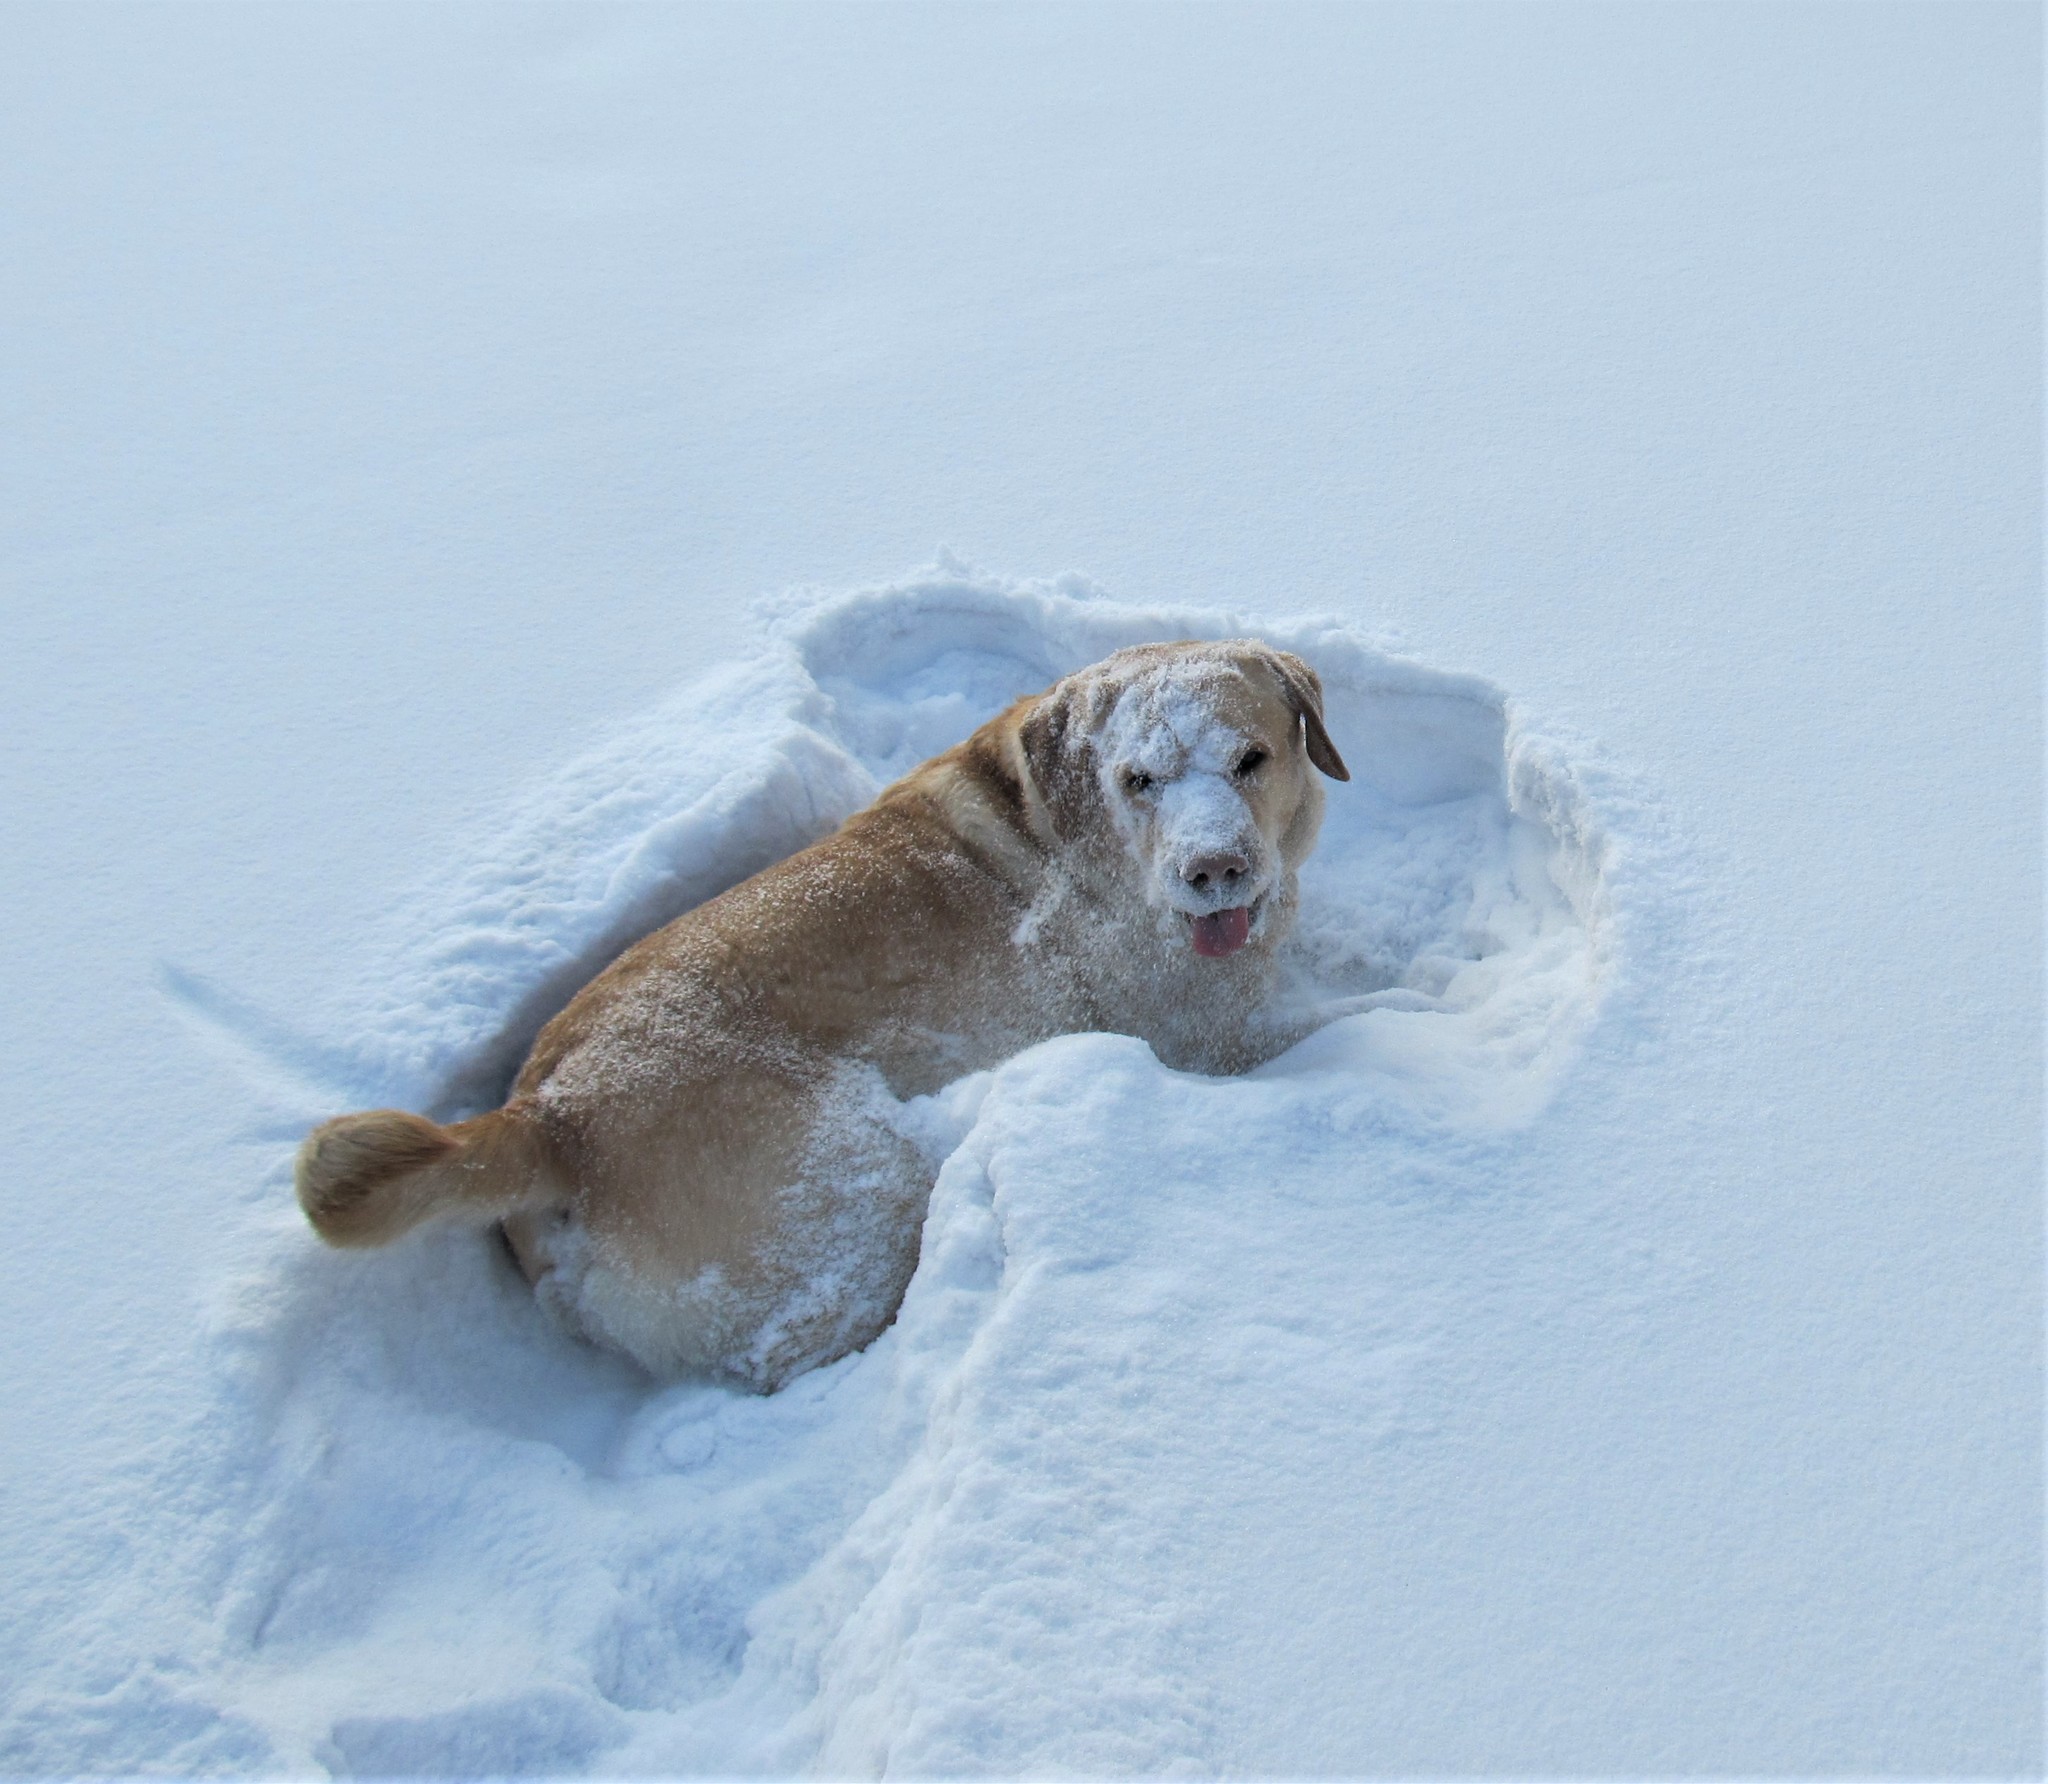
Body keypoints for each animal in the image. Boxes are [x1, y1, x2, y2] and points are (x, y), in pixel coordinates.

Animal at [288, 643, 1343, 1392]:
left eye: (1249, 760)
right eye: (1139, 780)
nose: (1213, 870)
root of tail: (544, 1120)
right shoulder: (1213, 1040)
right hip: (857, 1178)